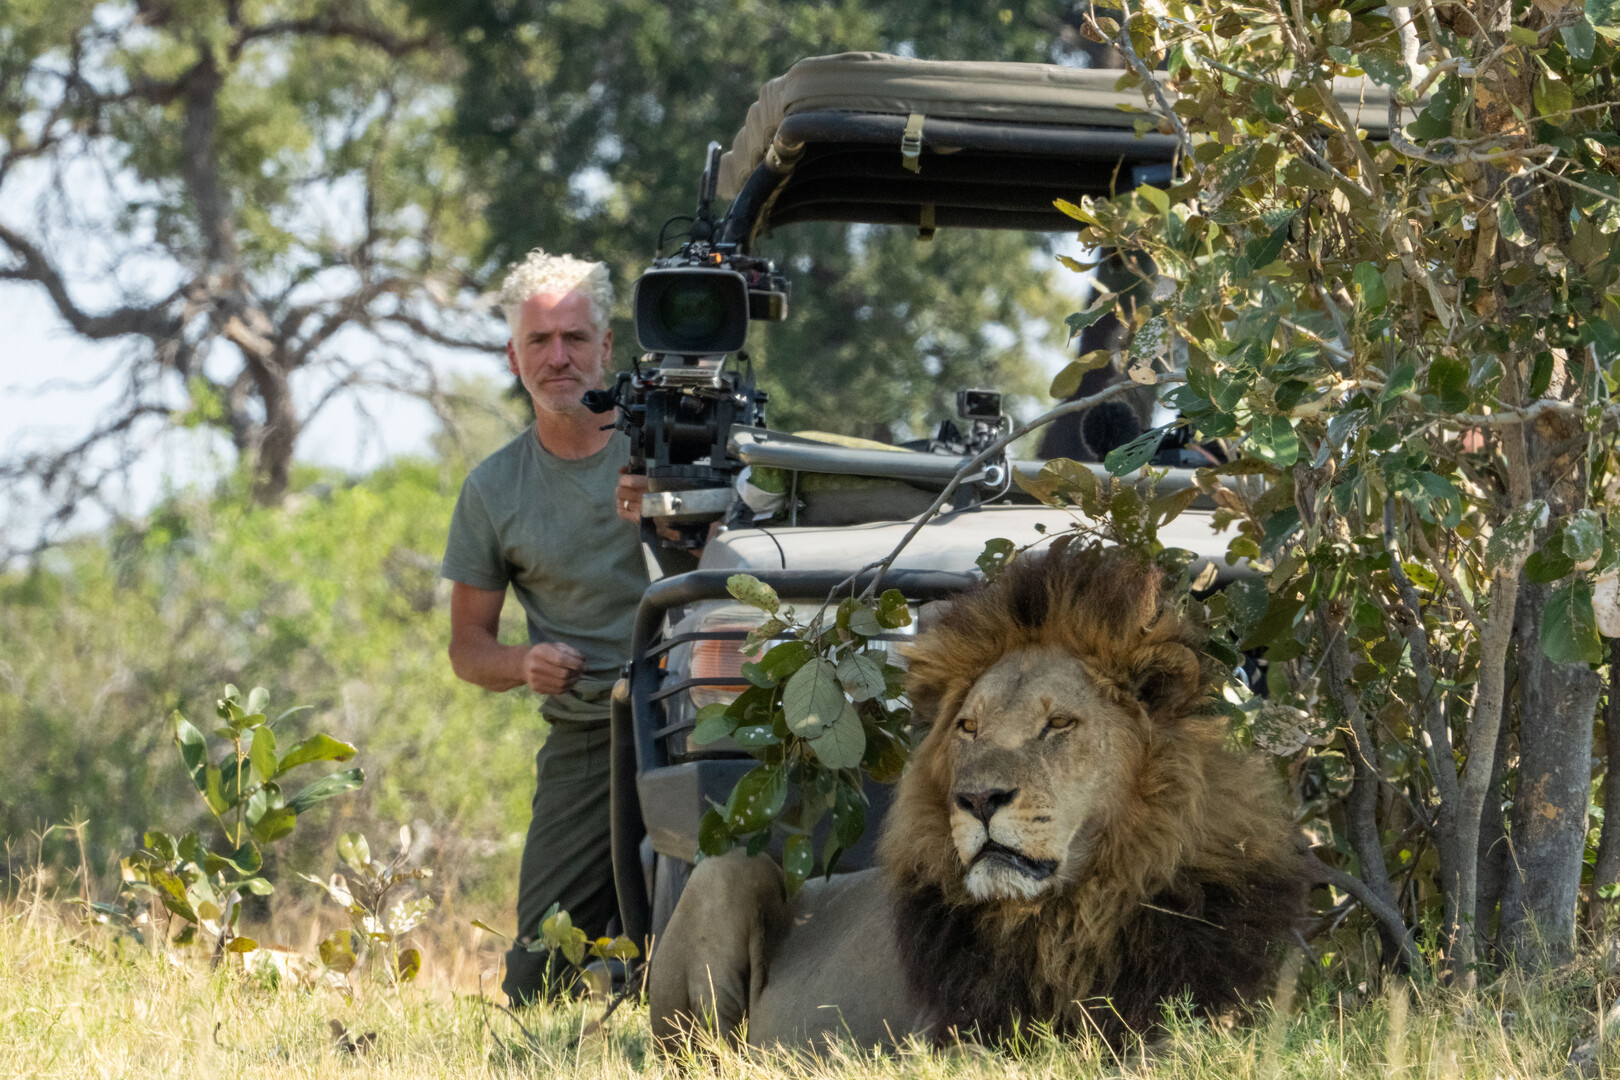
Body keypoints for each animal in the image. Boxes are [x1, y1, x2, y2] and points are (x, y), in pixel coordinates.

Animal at [649, 545, 1305, 1052]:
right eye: (968, 727)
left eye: (1058, 724)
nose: (979, 800)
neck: (1075, 913)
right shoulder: (945, 1037)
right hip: (727, 874)